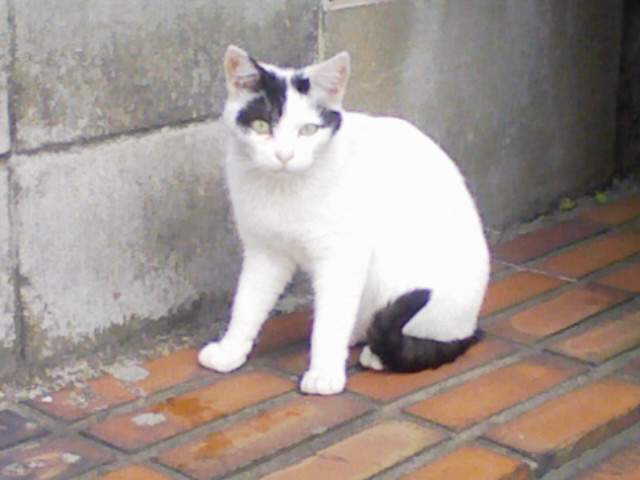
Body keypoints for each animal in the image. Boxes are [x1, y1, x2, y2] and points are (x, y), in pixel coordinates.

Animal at [198, 45, 490, 395]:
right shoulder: (265, 251)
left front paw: (324, 372)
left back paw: (378, 351)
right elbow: (247, 302)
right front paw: (230, 350)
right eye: (261, 126)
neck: (284, 188)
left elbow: (331, 320)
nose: (284, 156)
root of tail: (471, 326)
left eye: (308, 130)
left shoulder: (343, 255)